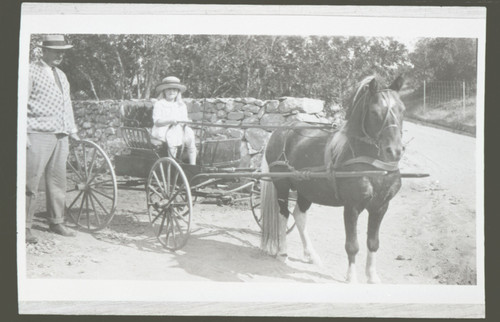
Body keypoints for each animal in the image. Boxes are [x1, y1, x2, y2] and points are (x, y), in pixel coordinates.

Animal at [262, 75, 406, 282]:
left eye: (402, 109)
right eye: (374, 111)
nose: (395, 150)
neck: (373, 165)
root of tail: (280, 131)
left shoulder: (380, 207)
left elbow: (373, 242)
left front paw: (372, 277)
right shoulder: (351, 207)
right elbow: (352, 245)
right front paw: (351, 277)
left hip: (307, 190)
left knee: (299, 216)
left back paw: (311, 255)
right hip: (282, 187)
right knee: (284, 215)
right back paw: (283, 253)